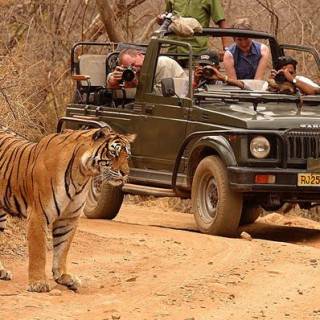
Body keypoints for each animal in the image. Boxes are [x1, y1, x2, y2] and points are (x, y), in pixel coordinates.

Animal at [0, 125, 136, 292]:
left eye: (127, 155)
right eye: (113, 153)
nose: (126, 173)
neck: (82, 174)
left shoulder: (68, 217)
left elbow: (62, 248)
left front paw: (64, 277)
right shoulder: (38, 214)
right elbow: (39, 252)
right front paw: (38, 283)